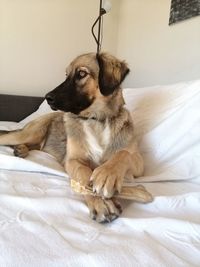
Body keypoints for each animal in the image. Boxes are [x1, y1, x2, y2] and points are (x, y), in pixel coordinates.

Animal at [0, 52, 146, 224]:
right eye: (66, 75)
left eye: (81, 74)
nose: (47, 98)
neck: (97, 120)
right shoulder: (73, 160)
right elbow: (84, 175)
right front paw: (101, 202)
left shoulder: (140, 165)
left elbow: (124, 153)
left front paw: (107, 173)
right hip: (30, 133)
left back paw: (21, 150)